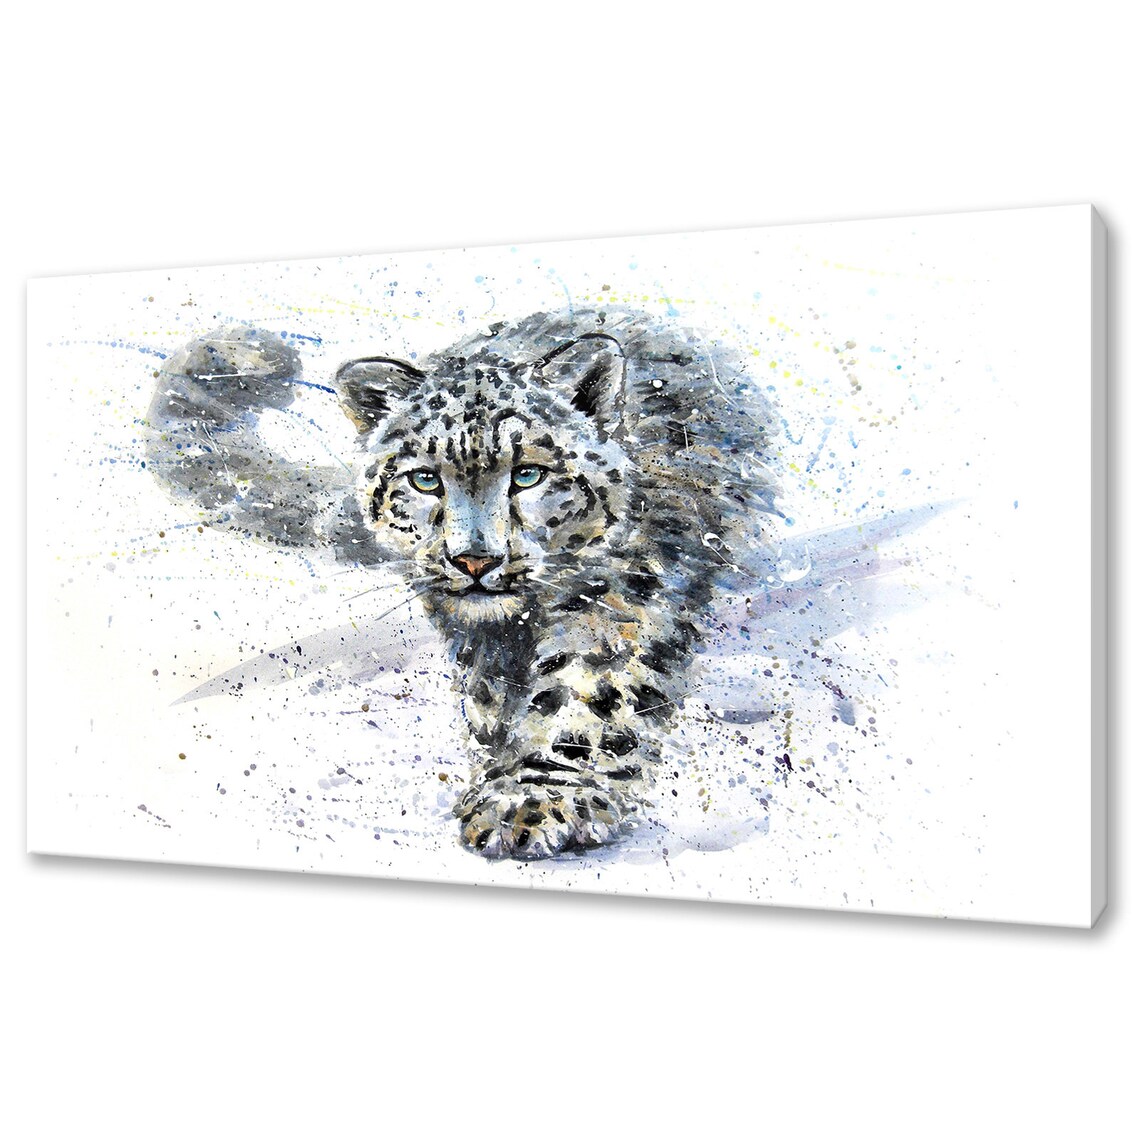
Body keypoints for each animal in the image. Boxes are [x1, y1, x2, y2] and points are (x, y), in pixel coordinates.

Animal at [145, 309, 778, 859]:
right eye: (424, 479)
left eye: (529, 474)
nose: (474, 560)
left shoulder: (618, 599)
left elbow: (585, 694)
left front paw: (531, 798)